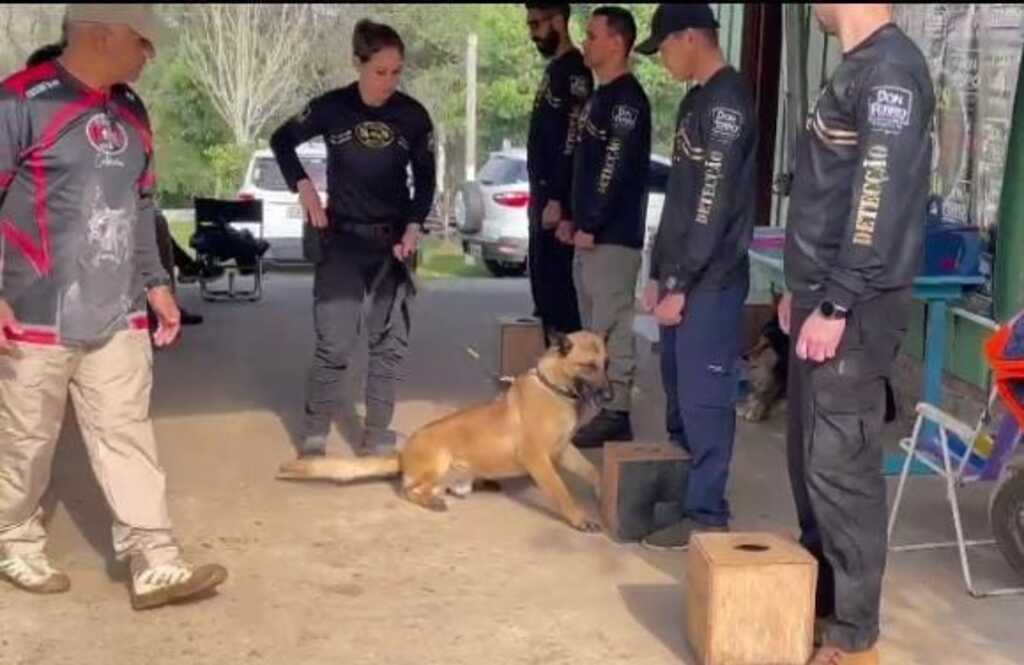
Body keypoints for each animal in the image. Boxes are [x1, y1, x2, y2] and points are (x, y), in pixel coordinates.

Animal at [274, 329, 606, 532]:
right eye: (588, 366)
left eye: (606, 363)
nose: (609, 395)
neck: (554, 389)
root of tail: (403, 454)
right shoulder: (539, 459)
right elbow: (562, 492)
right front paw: (579, 517)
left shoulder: (564, 451)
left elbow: (592, 471)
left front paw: (602, 491)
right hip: (439, 459)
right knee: (409, 490)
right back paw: (432, 501)